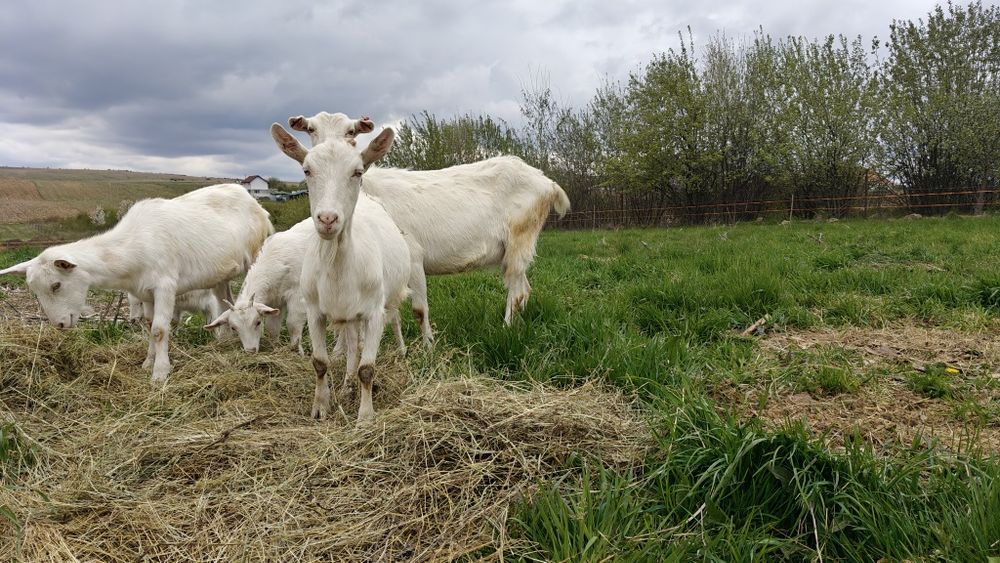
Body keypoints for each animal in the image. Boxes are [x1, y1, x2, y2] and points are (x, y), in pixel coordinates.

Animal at [0, 184, 273, 384]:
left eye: (56, 285)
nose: (58, 325)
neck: (132, 247)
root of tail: (253, 201)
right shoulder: (144, 293)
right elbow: (149, 326)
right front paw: (148, 363)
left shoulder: (165, 286)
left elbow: (160, 330)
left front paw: (160, 374)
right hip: (221, 272)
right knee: (223, 299)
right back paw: (224, 340)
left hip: (256, 252)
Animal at [203, 218, 315, 354]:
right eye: (233, 328)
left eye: (258, 322)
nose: (250, 350)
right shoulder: (275, 301)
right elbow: (272, 328)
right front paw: (275, 346)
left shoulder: (297, 295)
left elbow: (292, 323)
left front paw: (297, 352)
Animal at [272, 122, 410, 422]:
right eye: (306, 170)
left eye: (357, 172)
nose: (327, 219)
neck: (337, 264)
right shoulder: (314, 311)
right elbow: (320, 362)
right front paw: (320, 407)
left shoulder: (373, 313)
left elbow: (367, 368)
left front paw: (366, 417)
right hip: (348, 316)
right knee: (351, 346)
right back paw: (347, 386)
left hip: (389, 298)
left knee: (392, 322)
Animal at [290, 112, 571, 326]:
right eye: (311, 129)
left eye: (350, 132)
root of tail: (547, 182)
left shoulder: (413, 256)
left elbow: (418, 310)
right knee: (524, 288)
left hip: (520, 239)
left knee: (516, 291)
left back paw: (506, 328)